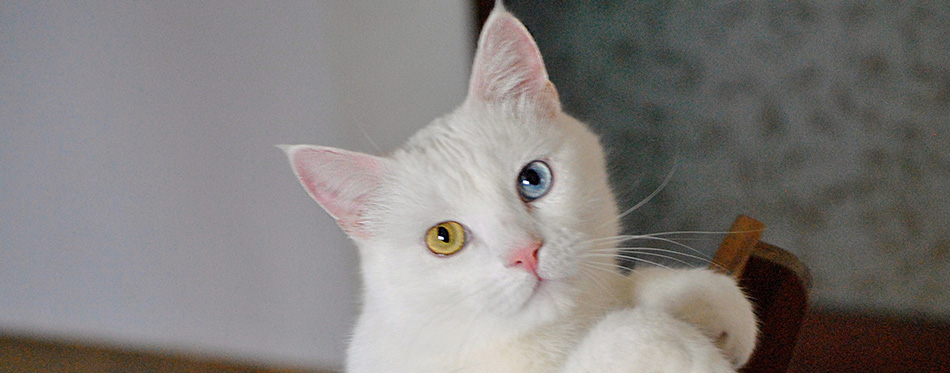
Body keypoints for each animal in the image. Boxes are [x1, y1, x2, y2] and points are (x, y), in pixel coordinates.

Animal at [280, 3, 760, 372]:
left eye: (533, 180)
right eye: (443, 237)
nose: (525, 253)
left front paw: (712, 307)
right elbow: (627, 332)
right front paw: (689, 349)